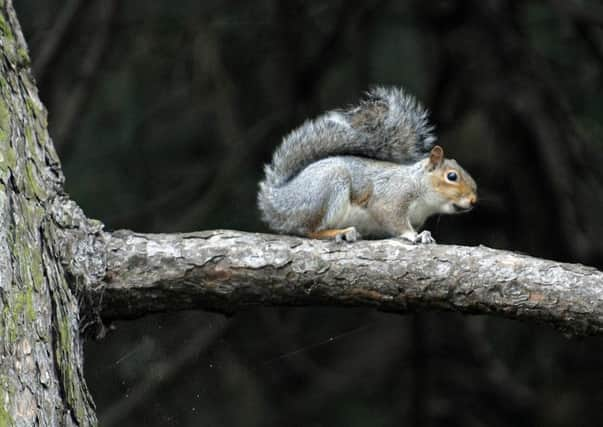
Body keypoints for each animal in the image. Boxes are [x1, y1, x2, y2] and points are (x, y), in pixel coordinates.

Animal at [258, 86, 478, 244]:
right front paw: (413, 235)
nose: (474, 201)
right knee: (309, 230)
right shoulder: (392, 197)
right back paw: (339, 233)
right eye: (452, 176)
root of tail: (276, 200)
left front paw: (423, 234)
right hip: (326, 188)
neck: (420, 188)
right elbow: (392, 218)